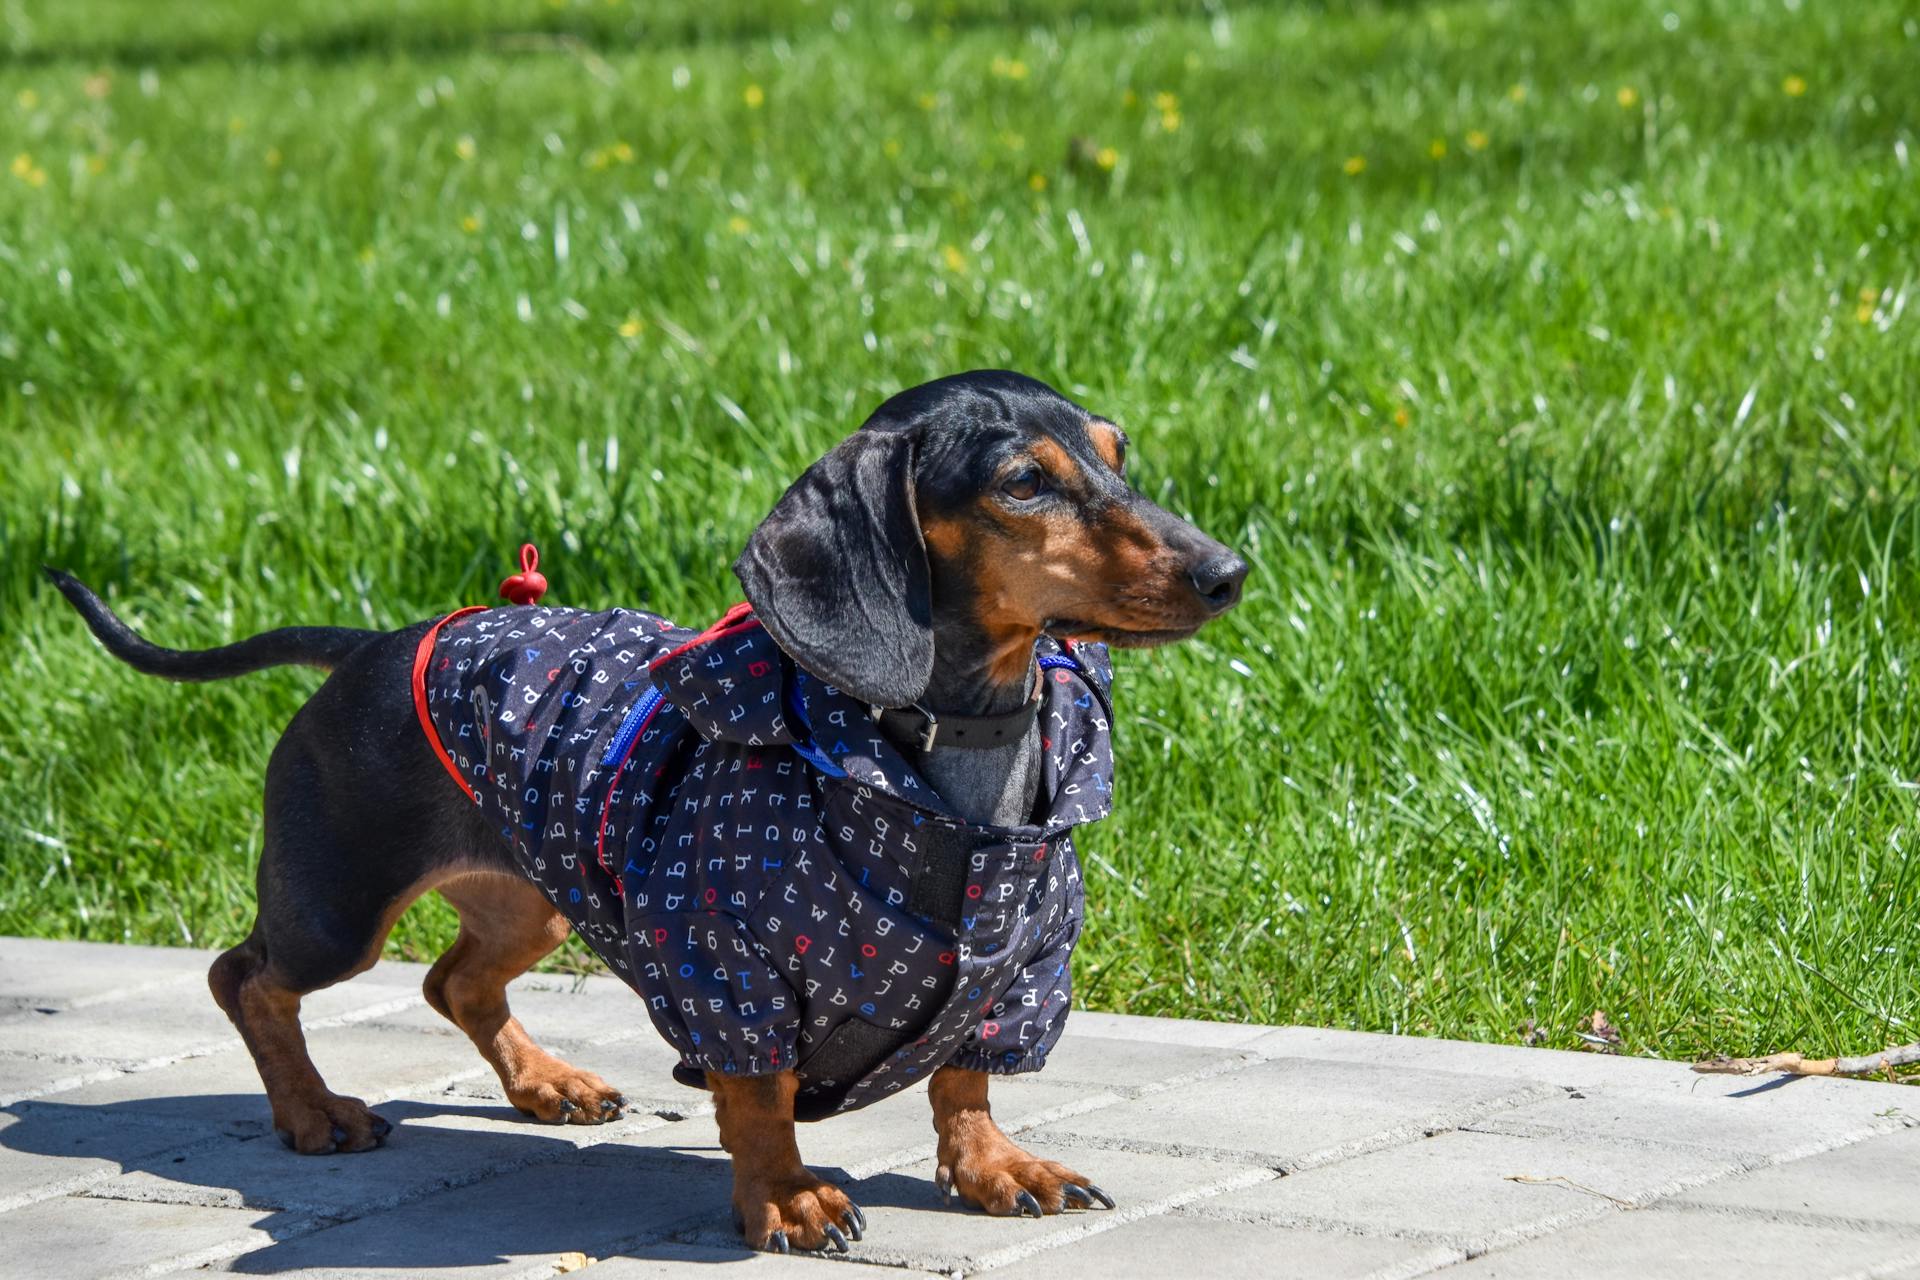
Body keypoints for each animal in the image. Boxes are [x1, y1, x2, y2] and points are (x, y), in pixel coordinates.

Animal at [48, 370, 1244, 1251]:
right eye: (1023, 482)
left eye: (1117, 454)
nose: (1229, 572)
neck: (950, 758)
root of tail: (374, 644)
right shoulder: (728, 964)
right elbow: (757, 1092)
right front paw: (788, 1198)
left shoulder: (1024, 969)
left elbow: (966, 1075)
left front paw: (998, 1166)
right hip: (338, 904)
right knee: (245, 977)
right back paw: (310, 1112)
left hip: (533, 890)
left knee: (452, 980)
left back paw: (550, 1085)